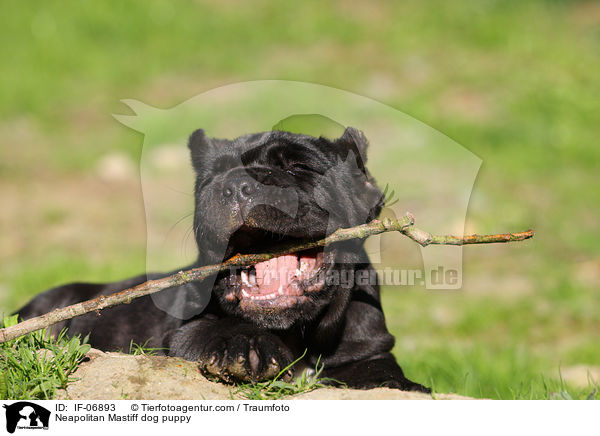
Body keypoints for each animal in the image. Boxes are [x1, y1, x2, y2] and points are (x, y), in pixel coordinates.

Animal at [15, 127, 426, 392]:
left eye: (298, 168)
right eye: (213, 177)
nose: (236, 185)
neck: (298, 333)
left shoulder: (369, 348)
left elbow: (383, 374)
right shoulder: (182, 332)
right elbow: (214, 330)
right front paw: (246, 346)